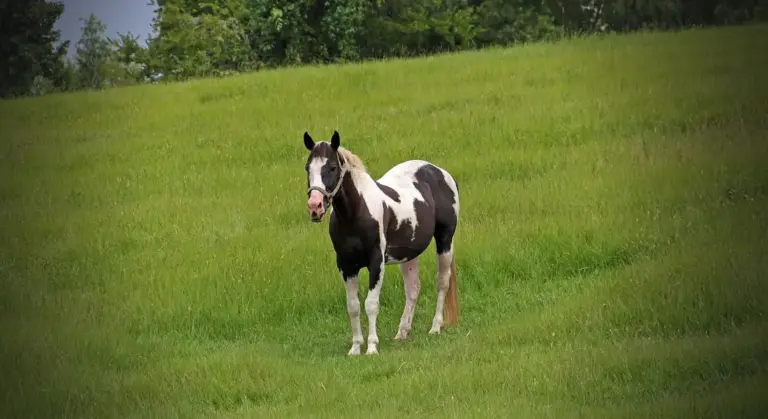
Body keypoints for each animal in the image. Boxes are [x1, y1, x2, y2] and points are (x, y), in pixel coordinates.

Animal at [302, 130, 461, 355]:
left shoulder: (376, 262)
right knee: (413, 289)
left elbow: (371, 304)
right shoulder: (346, 265)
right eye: (308, 167)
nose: (314, 206)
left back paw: (435, 327)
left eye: (332, 167)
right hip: (409, 254)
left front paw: (371, 347)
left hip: (445, 241)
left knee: (442, 282)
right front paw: (355, 347)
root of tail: (440, 172)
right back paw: (402, 332)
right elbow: (353, 306)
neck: (356, 213)